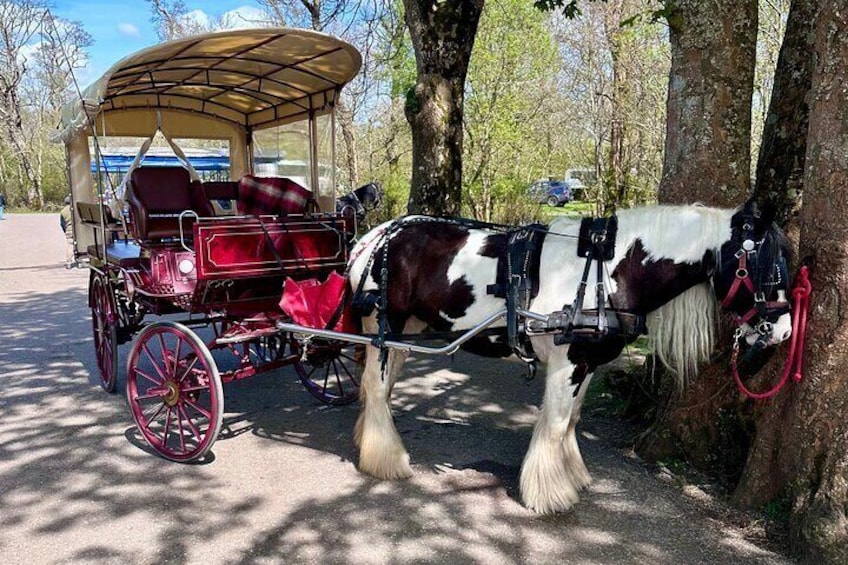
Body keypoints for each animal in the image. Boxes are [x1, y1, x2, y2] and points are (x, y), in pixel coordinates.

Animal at [346, 200, 796, 512]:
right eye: (765, 265)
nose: (783, 331)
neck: (607, 270)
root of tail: (373, 237)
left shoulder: (588, 363)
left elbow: (572, 421)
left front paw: (574, 476)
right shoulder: (568, 363)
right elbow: (557, 422)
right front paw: (550, 494)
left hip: (404, 333)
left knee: (379, 389)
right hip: (382, 326)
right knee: (375, 386)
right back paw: (386, 458)